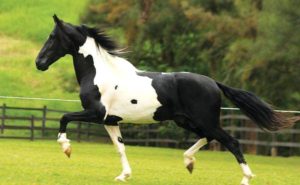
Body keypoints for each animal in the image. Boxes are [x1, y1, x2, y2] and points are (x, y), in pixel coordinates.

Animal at [35, 15, 298, 185]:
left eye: (52, 37)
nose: (39, 63)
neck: (101, 72)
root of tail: (214, 83)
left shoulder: (96, 114)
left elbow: (64, 118)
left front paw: (67, 148)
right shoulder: (110, 120)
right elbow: (120, 148)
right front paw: (124, 175)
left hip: (206, 120)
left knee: (231, 142)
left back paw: (246, 178)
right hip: (186, 121)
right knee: (209, 137)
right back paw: (189, 162)